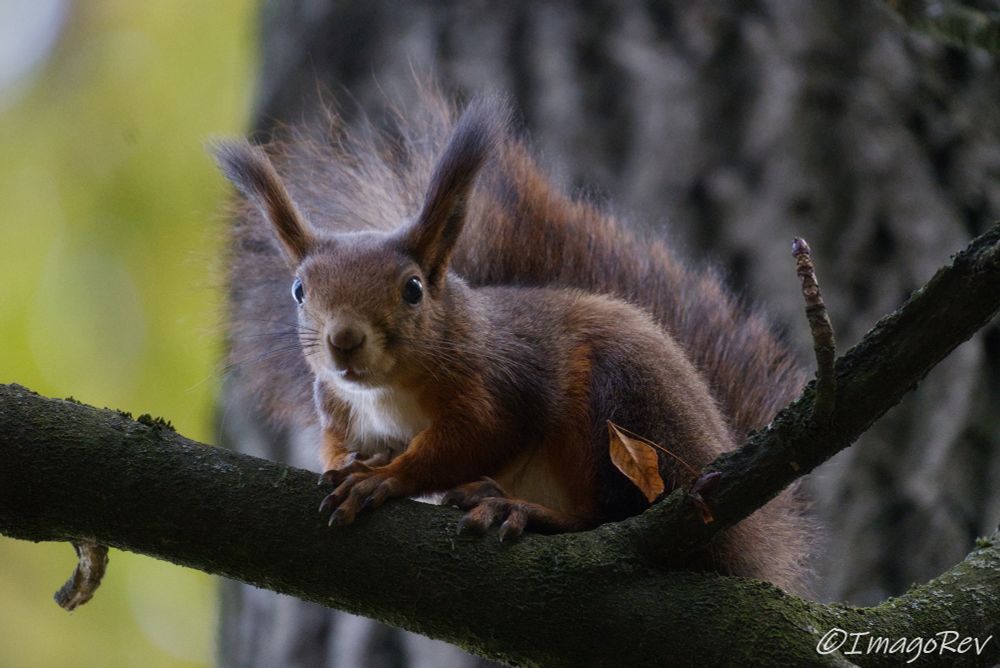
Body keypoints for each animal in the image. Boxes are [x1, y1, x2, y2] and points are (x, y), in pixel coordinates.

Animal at [217, 95, 809, 590]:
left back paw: (519, 510)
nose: (343, 339)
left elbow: (476, 439)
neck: (387, 393)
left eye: (413, 289)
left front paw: (384, 476)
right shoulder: (340, 409)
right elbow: (341, 446)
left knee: (605, 516)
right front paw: (353, 463)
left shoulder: (501, 383)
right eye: (298, 289)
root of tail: (747, 546)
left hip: (622, 407)